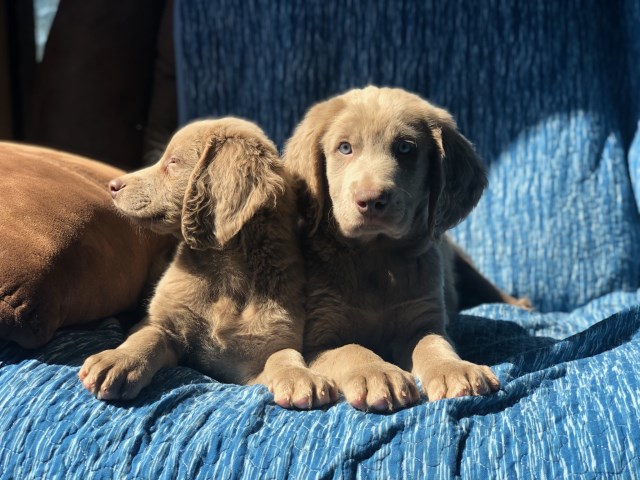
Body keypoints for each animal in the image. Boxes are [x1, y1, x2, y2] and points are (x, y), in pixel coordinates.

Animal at [79, 118, 338, 406]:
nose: (112, 185)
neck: (225, 272)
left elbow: (284, 354)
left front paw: (299, 376)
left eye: (173, 162)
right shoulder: (166, 328)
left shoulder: (259, 357)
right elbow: (149, 334)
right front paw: (119, 360)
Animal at [284, 87, 528, 412]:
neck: (376, 257)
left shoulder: (423, 319)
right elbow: (352, 349)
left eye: (405, 148)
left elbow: (435, 345)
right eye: (345, 148)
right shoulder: (319, 338)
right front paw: (378, 374)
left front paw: (455, 370)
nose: (371, 200)